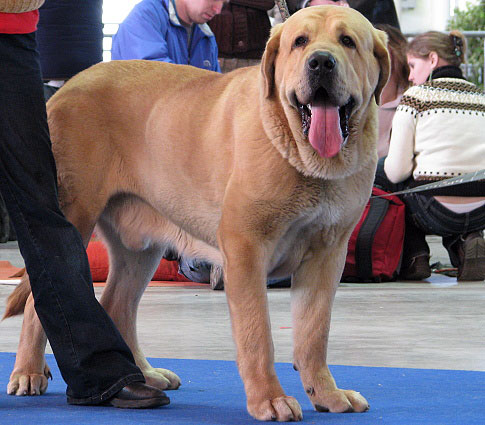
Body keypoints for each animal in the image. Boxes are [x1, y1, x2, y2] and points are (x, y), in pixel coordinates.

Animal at [4, 6, 390, 420]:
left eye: (347, 41)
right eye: (299, 42)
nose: (320, 62)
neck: (306, 161)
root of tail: (67, 86)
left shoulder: (326, 256)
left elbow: (313, 335)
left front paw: (327, 394)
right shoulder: (245, 248)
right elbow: (258, 334)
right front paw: (269, 399)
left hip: (141, 249)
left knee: (117, 305)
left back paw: (143, 376)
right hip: (72, 216)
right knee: (40, 299)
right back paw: (28, 372)